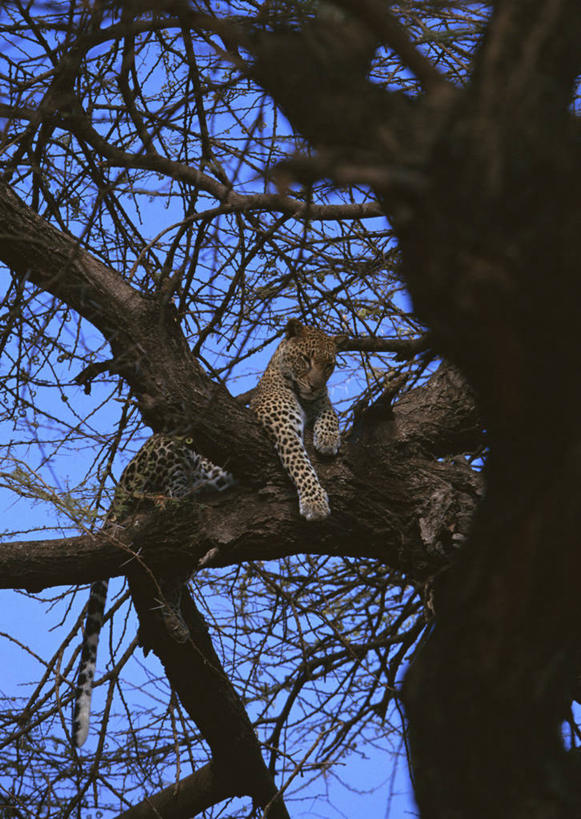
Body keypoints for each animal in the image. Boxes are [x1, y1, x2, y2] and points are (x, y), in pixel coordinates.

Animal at [249, 318, 340, 524]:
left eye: (329, 365)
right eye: (305, 359)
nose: (315, 386)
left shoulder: (323, 402)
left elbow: (331, 413)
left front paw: (328, 439)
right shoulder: (283, 424)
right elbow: (300, 462)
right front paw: (314, 503)